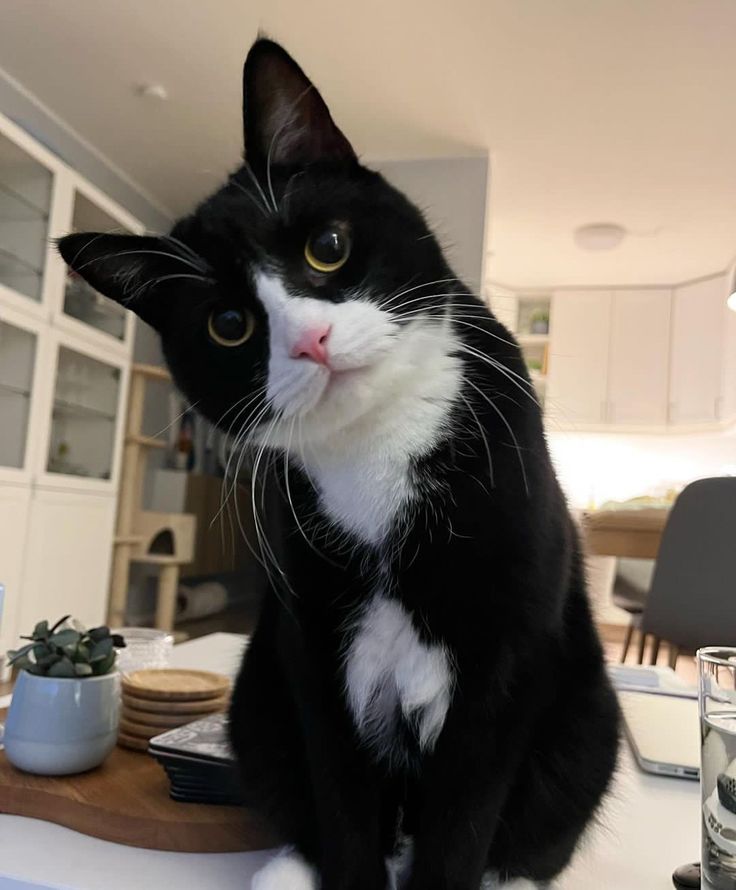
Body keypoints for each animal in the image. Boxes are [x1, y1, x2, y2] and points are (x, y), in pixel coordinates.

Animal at [60, 36, 620, 888]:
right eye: (228, 325)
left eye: (326, 247)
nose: (311, 340)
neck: (377, 443)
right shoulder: (313, 643)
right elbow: (340, 788)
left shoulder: (504, 643)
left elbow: (466, 811)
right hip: (256, 697)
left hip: (589, 717)